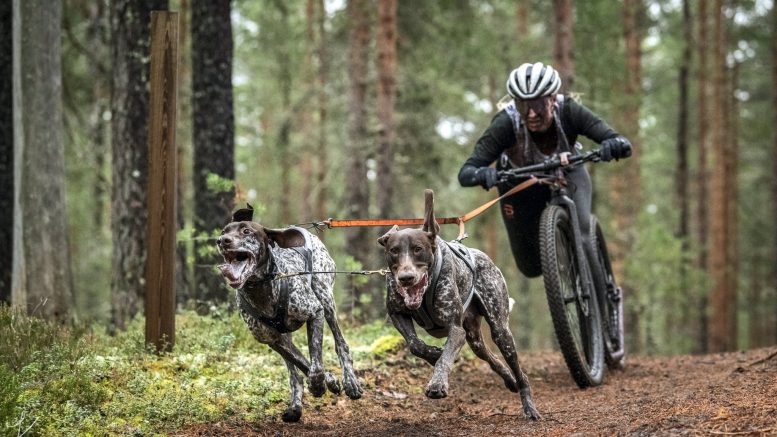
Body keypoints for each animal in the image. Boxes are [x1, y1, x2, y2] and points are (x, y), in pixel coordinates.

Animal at [215, 205, 360, 422]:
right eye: (224, 231)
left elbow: (315, 361)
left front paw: (320, 383)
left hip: (326, 299)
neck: (261, 289)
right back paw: (296, 406)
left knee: (341, 344)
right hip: (286, 336)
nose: (222, 241)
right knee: (294, 373)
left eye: (246, 231)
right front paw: (327, 382)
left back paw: (351, 382)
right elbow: (303, 364)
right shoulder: (272, 339)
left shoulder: (315, 312)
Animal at [378, 190, 540, 418]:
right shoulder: (397, 314)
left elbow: (445, 358)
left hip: (500, 331)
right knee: (492, 358)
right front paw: (433, 354)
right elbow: (415, 345)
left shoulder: (455, 329)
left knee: (519, 371)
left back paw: (529, 405)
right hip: (474, 339)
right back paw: (509, 379)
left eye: (418, 249)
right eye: (394, 250)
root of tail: (484, 257)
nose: (406, 278)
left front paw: (437, 384)